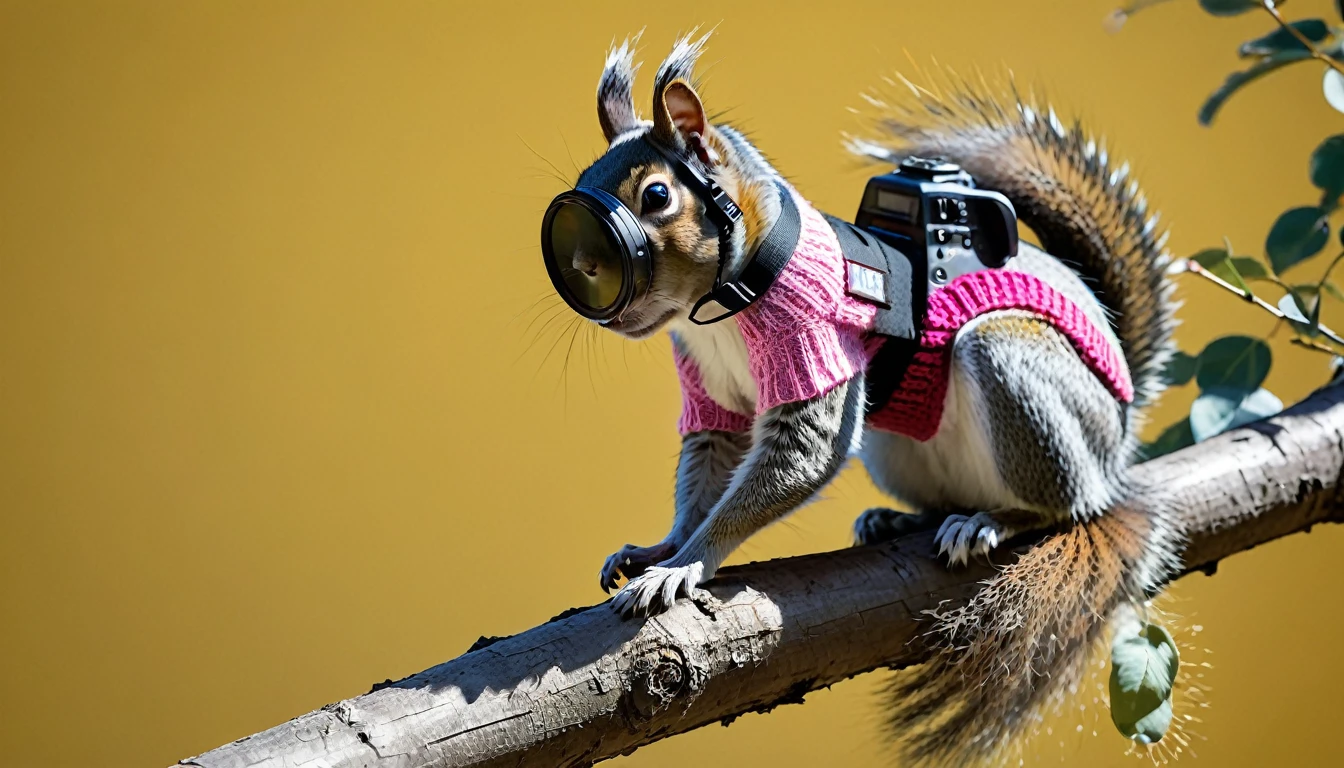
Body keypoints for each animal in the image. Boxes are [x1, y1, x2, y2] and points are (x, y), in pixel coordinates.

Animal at [572, 31, 1182, 763]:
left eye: (658, 195)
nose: (586, 267)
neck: (724, 302)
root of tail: (1118, 435)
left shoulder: (817, 352)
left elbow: (797, 458)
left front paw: (686, 565)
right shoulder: (714, 398)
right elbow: (707, 472)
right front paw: (661, 550)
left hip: (1015, 372)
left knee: (1067, 502)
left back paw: (993, 520)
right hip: (899, 450)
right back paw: (903, 520)